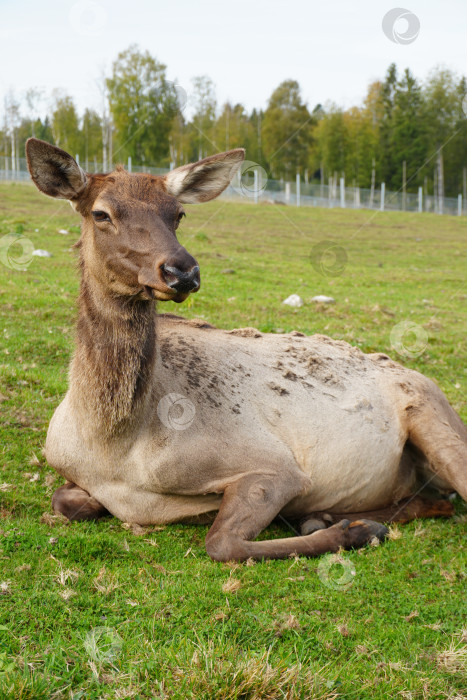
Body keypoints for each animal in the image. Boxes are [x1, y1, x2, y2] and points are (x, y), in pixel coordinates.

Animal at [26, 138, 467, 564]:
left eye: (178, 214)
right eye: (102, 214)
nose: (182, 271)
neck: (111, 445)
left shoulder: (275, 467)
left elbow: (222, 543)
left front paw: (355, 533)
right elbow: (65, 501)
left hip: (434, 416)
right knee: (435, 501)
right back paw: (326, 516)